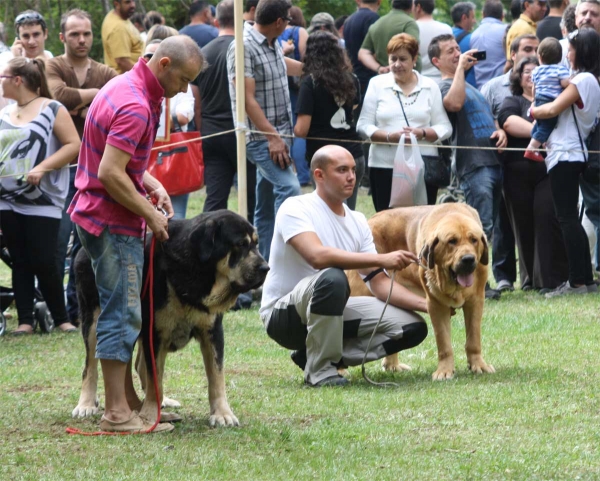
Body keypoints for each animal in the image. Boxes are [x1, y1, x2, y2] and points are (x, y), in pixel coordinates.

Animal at [71, 209, 268, 424]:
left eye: (256, 243)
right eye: (240, 244)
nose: (266, 268)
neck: (195, 271)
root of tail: (82, 250)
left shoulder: (212, 332)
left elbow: (217, 376)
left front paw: (222, 413)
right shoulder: (156, 333)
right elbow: (156, 377)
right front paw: (150, 413)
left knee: (138, 365)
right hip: (94, 319)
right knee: (90, 366)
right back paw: (86, 404)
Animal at [350, 202, 494, 378]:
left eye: (474, 240)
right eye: (452, 241)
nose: (468, 259)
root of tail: (369, 221)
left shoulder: (475, 301)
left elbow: (473, 338)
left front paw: (478, 365)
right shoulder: (435, 305)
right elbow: (443, 342)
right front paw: (444, 371)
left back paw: (393, 366)